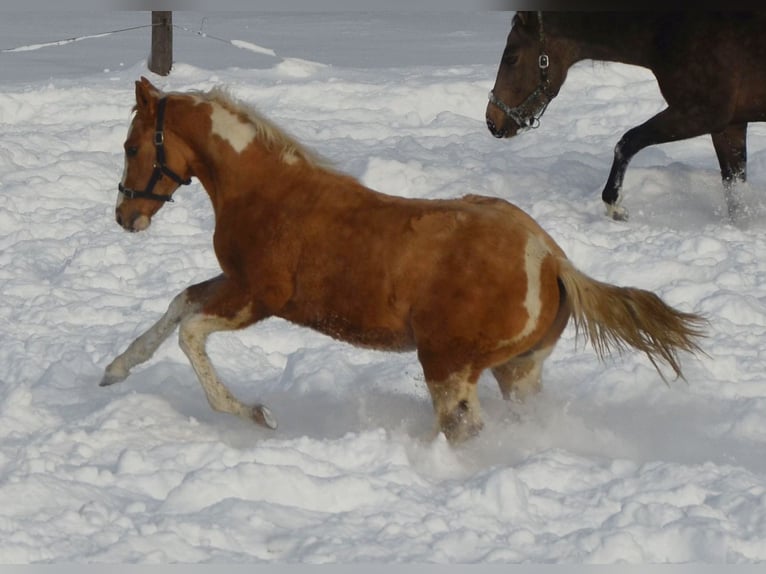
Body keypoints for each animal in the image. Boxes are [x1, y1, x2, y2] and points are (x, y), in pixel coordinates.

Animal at [100, 77, 708, 446]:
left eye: (131, 147)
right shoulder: (233, 282)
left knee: (466, 429)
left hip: (447, 366)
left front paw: (256, 413)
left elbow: (191, 334)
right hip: (518, 370)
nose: (125, 216)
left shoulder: (258, 296)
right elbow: (179, 304)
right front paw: (114, 370)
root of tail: (552, 259)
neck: (266, 191)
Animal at [488, 14, 766, 220]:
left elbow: (628, 141)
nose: (492, 121)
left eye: (511, 57)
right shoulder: (728, 125)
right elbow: (734, 189)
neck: (673, 28)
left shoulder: (703, 113)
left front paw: (614, 205)